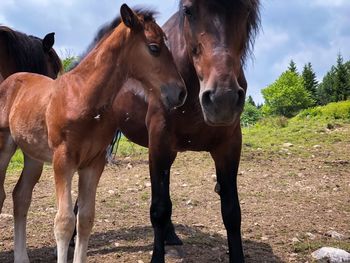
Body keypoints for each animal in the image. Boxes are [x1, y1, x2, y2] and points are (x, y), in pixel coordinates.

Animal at [0, 4, 186, 263]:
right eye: (154, 47)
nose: (180, 93)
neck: (83, 97)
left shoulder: (93, 163)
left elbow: (86, 219)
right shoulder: (63, 161)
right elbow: (64, 222)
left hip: (33, 156)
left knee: (21, 196)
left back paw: (21, 257)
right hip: (5, 147)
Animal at [110, 1, 262, 262]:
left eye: (245, 11)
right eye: (189, 10)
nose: (222, 99)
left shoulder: (229, 146)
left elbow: (231, 211)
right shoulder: (158, 144)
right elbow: (159, 209)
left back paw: (171, 235)